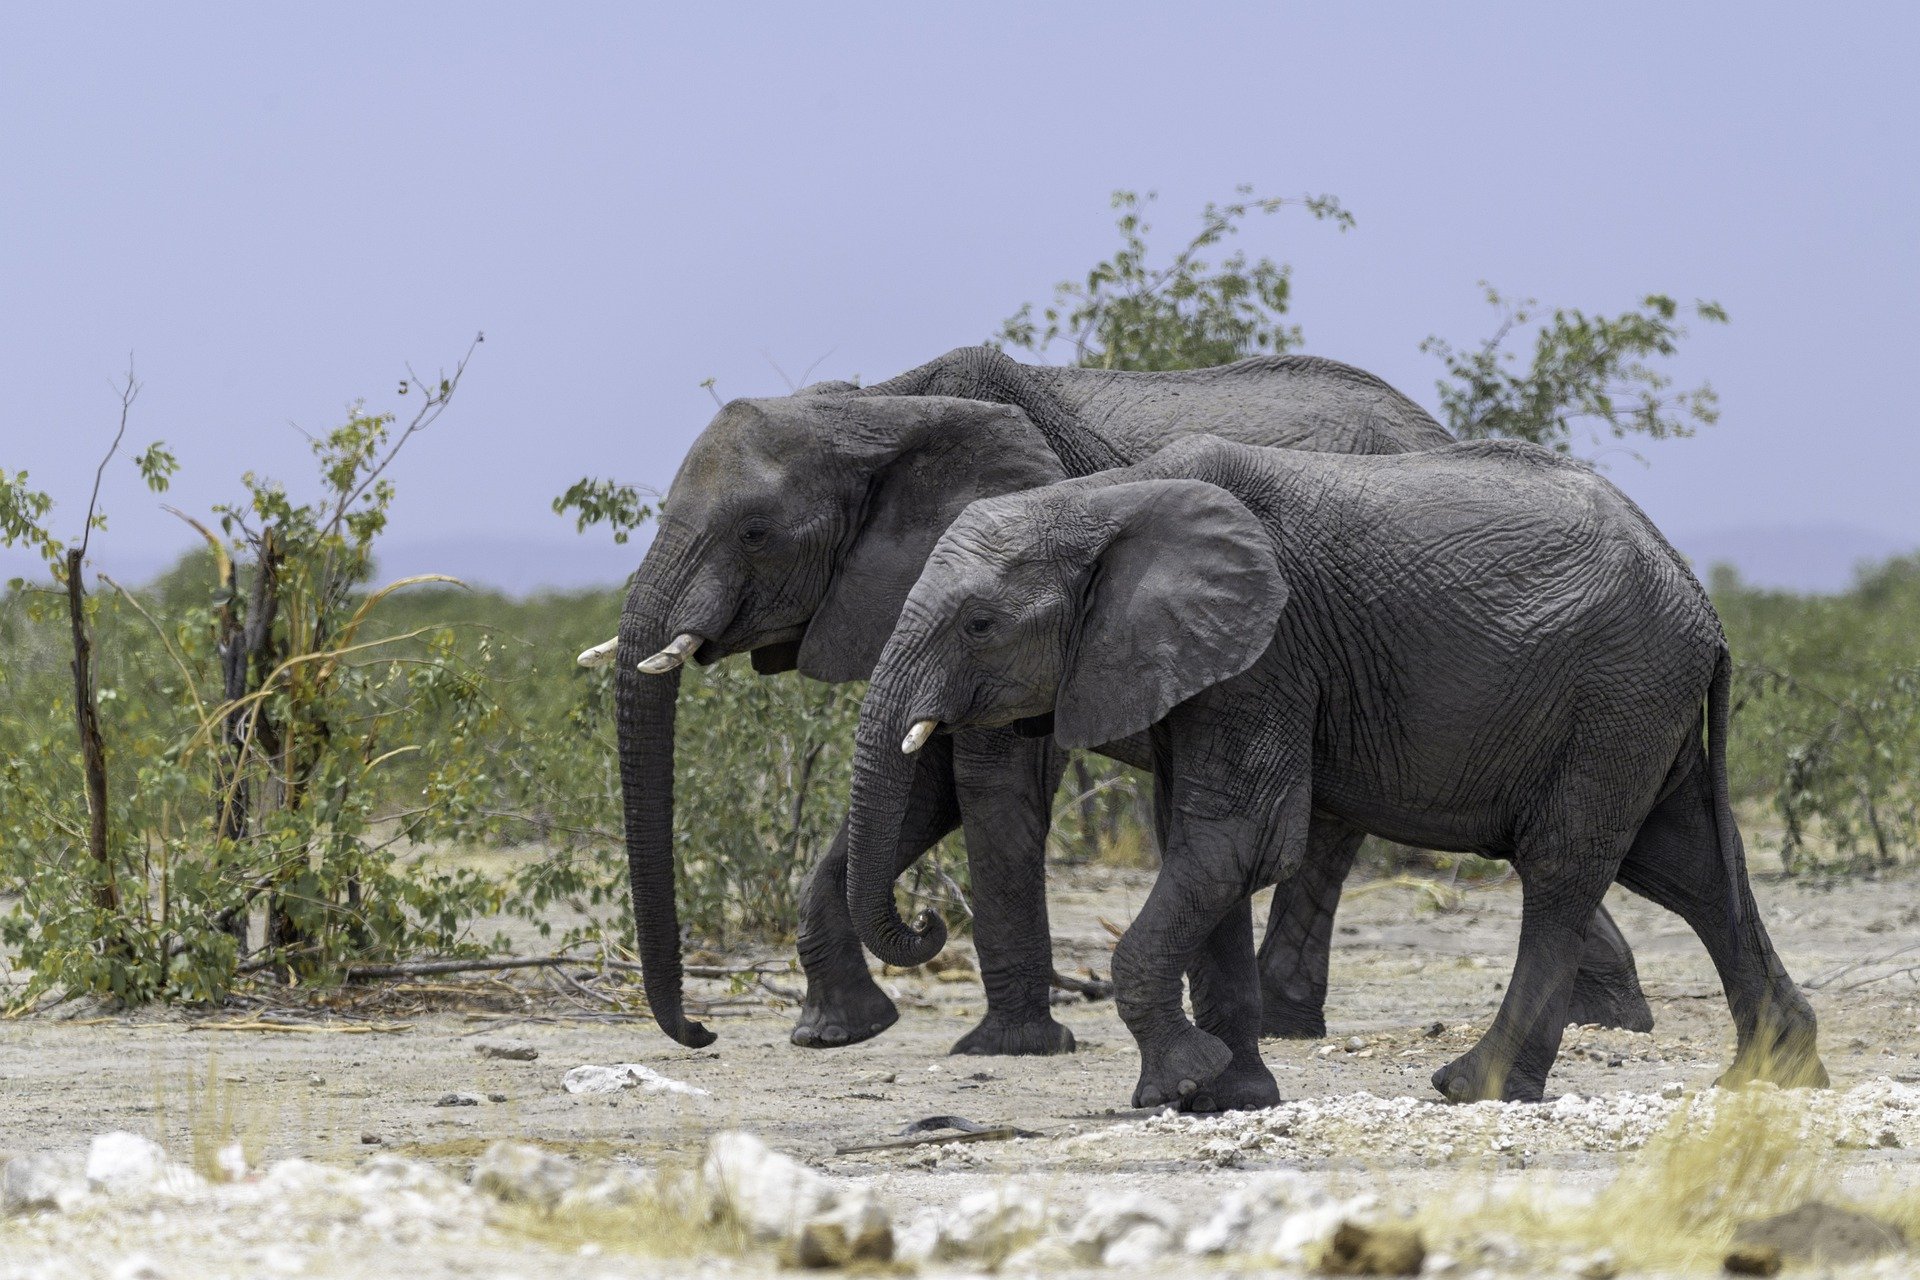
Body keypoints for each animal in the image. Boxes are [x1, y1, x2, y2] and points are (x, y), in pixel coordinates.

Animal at [599, 345, 1651, 1059]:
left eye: (755, 532)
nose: (700, 1035)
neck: (877, 407)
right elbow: (923, 782)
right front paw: (836, 1034)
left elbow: (990, 782)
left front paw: (1010, 1047)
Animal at [844, 433, 1827, 1113]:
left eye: (978, 625)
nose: (929, 922)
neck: (1099, 500)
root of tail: (1700, 599)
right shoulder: (1202, 670)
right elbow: (1201, 851)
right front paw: (1229, 1097)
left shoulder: (1267, 655)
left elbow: (1236, 843)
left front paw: (1176, 1087)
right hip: (1640, 706)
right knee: (1687, 868)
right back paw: (1773, 1079)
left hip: (1617, 693)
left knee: (1564, 869)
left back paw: (1472, 1087)